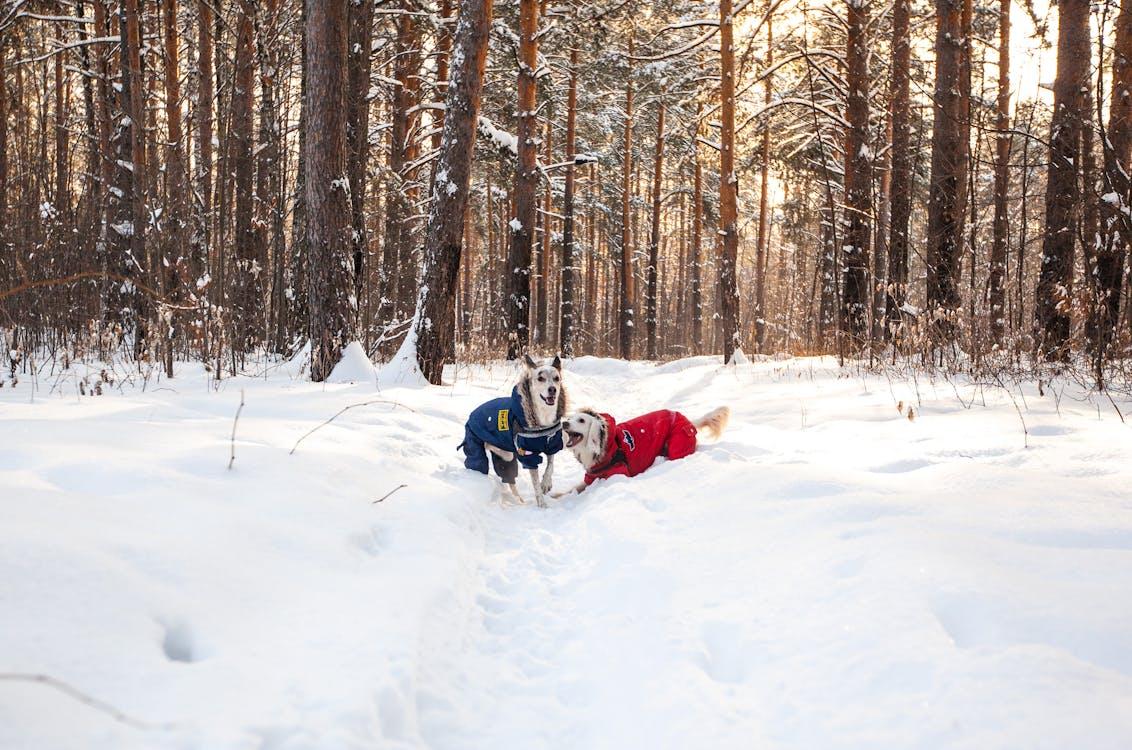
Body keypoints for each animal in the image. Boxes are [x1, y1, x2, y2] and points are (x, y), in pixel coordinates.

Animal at [459, 355, 566, 506]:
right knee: (479, 463)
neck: (543, 420)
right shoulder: (528, 454)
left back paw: (519, 500)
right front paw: (542, 504)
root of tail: (471, 416)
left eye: (557, 378)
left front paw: (546, 483)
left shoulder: (552, 444)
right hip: (474, 444)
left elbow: (550, 466)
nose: (552, 389)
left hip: (506, 457)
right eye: (540, 378)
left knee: (509, 478)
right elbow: (535, 484)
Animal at [552, 404, 729, 493]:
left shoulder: (617, 474)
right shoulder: (590, 477)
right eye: (570, 419)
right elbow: (572, 489)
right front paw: (554, 496)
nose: (564, 423)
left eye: (581, 420)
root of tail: (690, 422)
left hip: (676, 446)